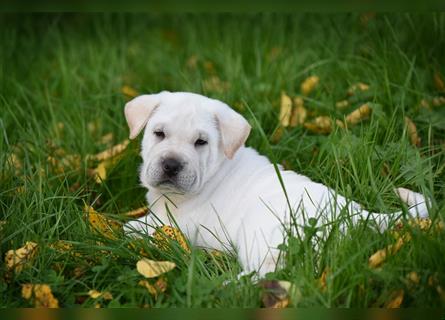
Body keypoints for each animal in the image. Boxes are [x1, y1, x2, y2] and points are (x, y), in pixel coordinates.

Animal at [123, 91, 428, 276]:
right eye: (159, 134)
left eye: (201, 142)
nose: (171, 165)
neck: (216, 171)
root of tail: (359, 216)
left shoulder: (178, 224)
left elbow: (137, 227)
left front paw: (119, 229)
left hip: (263, 233)